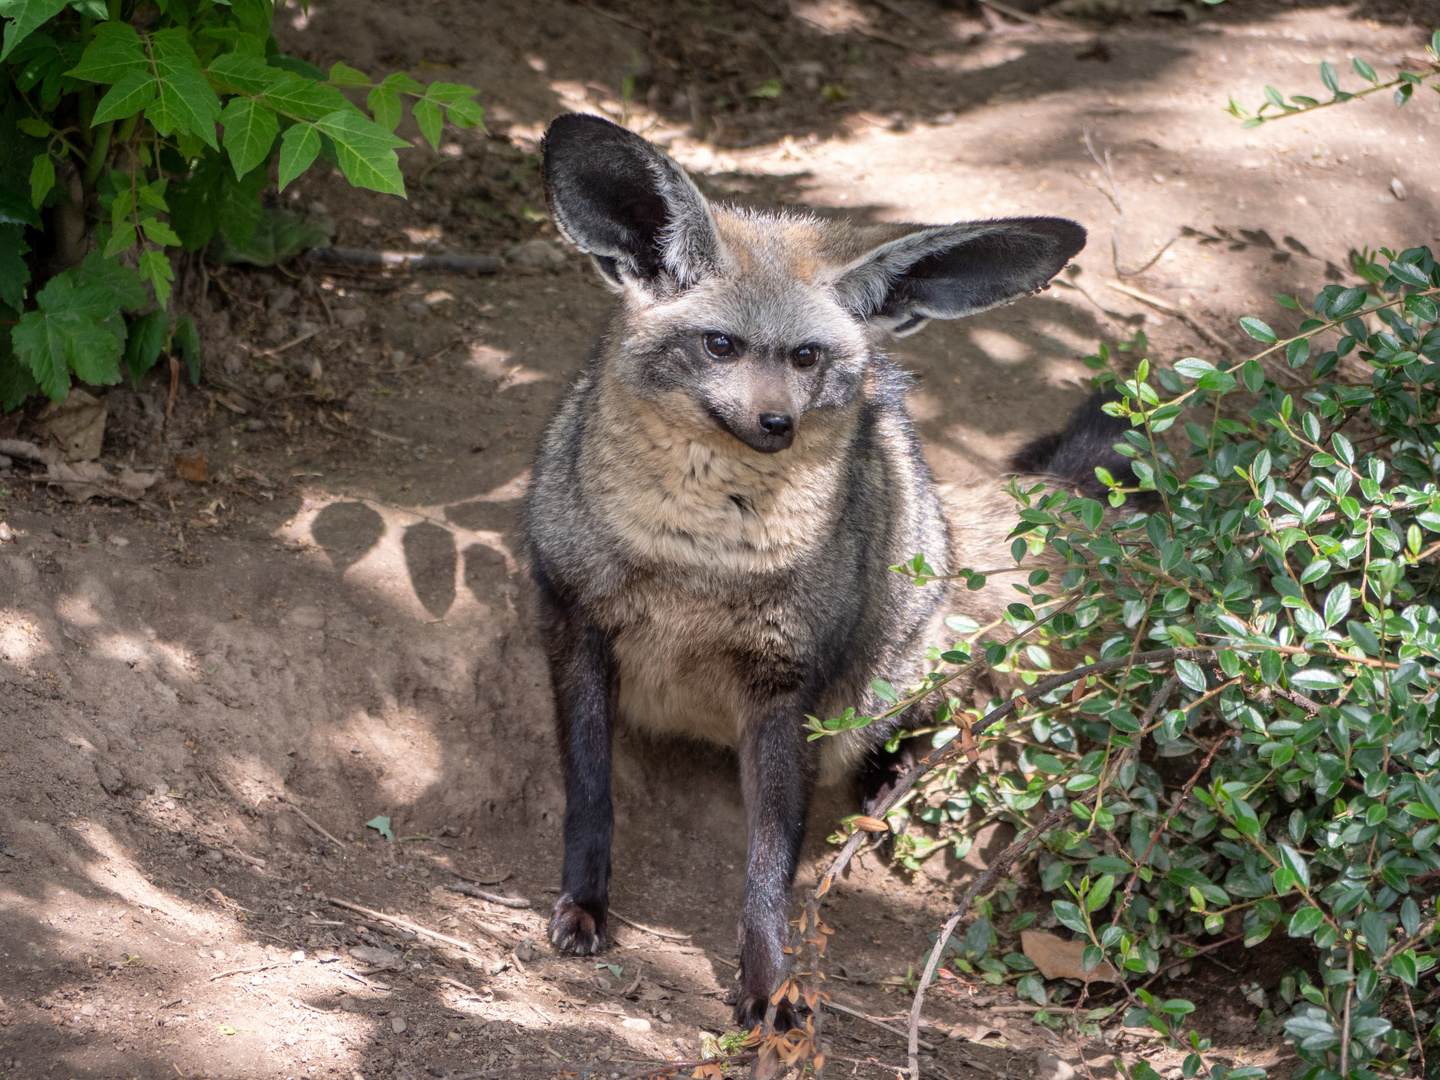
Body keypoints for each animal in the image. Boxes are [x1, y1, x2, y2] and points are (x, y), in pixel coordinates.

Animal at [521, 110, 1134, 1031]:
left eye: (808, 356)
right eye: (720, 345)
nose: (775, 423)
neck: (694, 562)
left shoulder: (790, 689)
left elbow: (769, 868)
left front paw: (767, 980)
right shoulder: (575, 624)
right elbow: (591, 798)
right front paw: (584, 908)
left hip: (890, 674)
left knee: (931, 721)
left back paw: (889, 794)